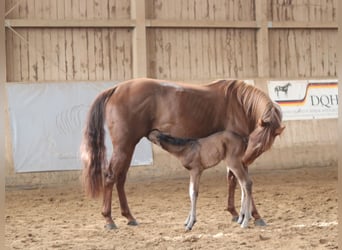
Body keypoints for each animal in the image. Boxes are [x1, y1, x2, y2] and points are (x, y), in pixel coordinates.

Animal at [80, 78, 284, 230]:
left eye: (263, 146)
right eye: (257, 143)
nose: (246, 158)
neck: (238, 103)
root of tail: (116, 88)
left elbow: (233, 181)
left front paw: (235, 213)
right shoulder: (235, 155)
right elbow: (240, 182)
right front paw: (253, 216)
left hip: (128, 147)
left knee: (120, 178)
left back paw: (129, 216)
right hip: (124, 146)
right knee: (111, 177)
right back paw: (109, 219)